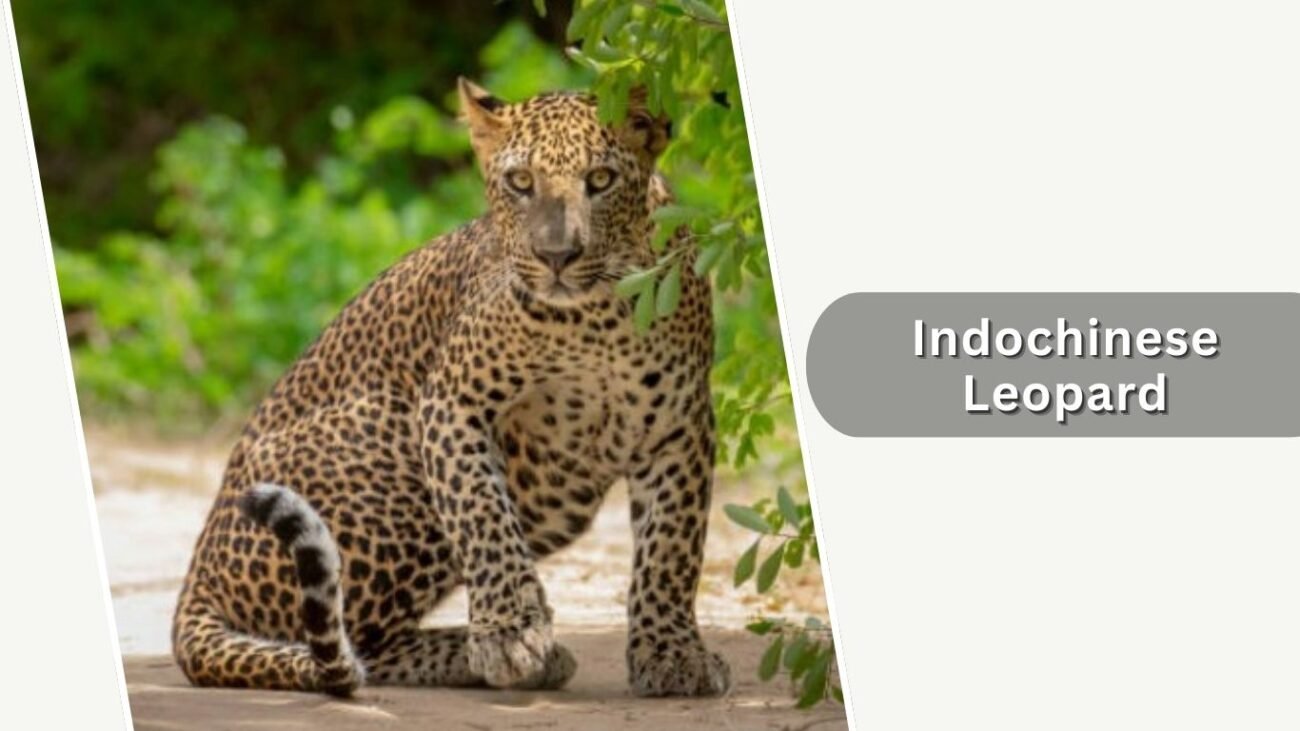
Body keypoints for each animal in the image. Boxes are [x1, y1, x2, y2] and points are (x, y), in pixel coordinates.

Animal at [170, 77, 729, 699]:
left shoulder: (679, 425)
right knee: (348, 642)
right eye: (521, 182)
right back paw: (491, 654)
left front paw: (671, 653)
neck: (594, 320)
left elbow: (671, 547)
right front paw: (510, 635)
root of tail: (196, 576)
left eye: (601, 180)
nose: (557, 256)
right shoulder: (451, 401)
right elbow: (482, 516)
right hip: (390, 439)